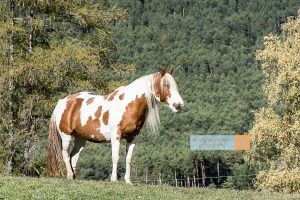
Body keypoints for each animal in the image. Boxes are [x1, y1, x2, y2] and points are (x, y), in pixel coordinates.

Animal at [47, 69, 183, 184]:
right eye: (166, 85)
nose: (179, 105)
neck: (129, 105)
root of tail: (62, 102)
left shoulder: (133, 138)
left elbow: (128, 159)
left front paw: (128, 181)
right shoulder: (116, 136)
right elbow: (115, 157)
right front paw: (114, 179)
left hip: (81, 139)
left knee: (73, 157)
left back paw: (74, 177)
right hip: (66, 136)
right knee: (65, 154)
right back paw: (70, 175)